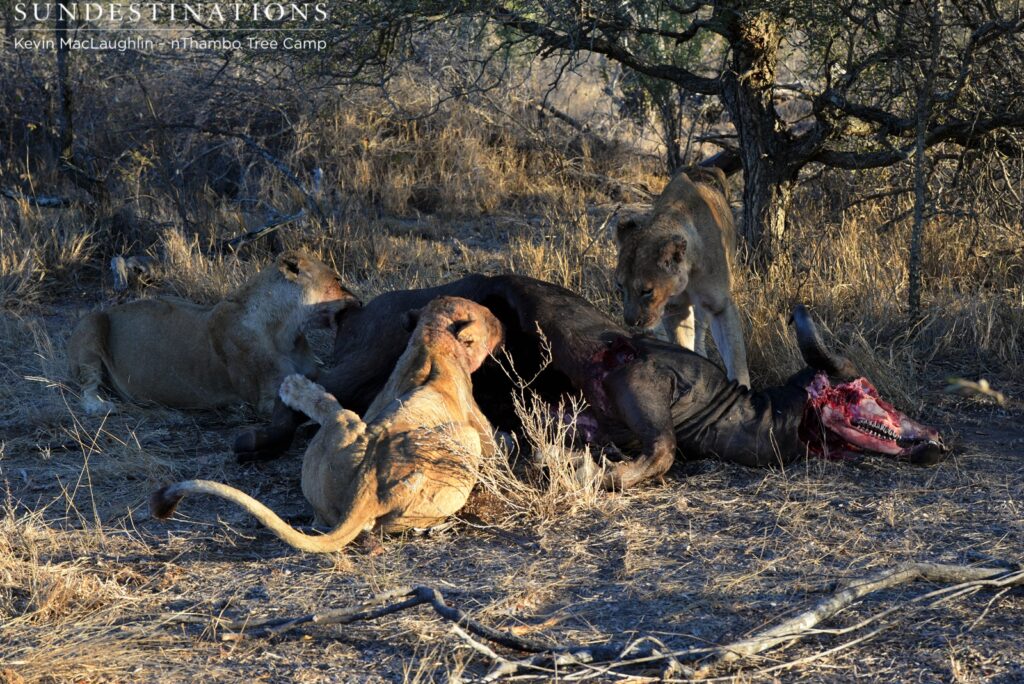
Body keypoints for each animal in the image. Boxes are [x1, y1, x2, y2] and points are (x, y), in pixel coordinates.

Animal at [68, 250, 359, 416]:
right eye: (337, 280)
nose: (359, 301)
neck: (286, 329)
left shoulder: (314, 372)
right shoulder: (266, 398)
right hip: (92, 322)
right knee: (86, 389)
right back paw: (101, 406)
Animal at [150, 296, 504, 554]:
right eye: (489, 318)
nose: (501, 324)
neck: (431, 341)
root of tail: (367, 490)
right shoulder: (483, 439)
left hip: (327, 455)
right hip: (461, 441)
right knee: (332, 406)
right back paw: (295, 386)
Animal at [613, 167, 750, 386]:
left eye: (646, 291)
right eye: (619, 286)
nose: (631, 322)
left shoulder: (720, 306)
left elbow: (736, 358)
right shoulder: (675, 308)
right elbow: (682, 345)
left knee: (701, 327)